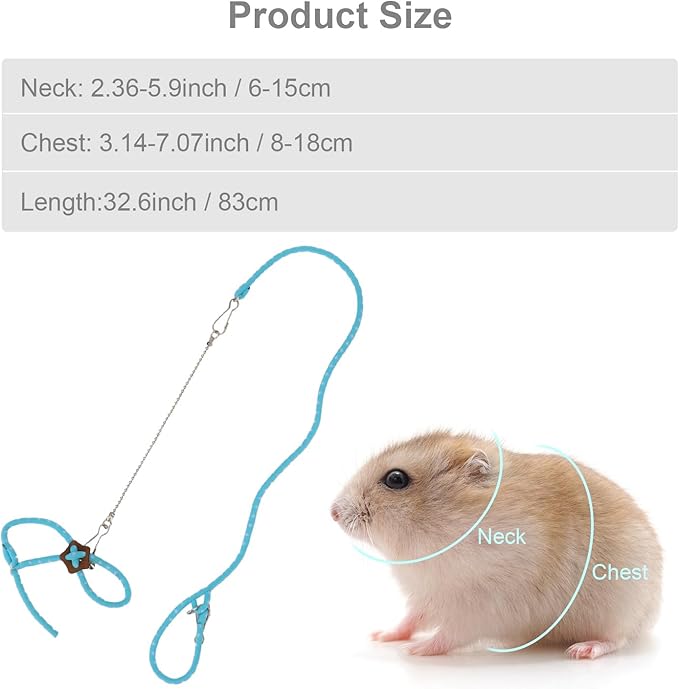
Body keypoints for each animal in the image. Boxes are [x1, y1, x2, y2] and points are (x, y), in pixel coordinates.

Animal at [330, 431, 662, 659]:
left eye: (396, 479)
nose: (332, 512)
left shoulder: (484, 605)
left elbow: (450, 633)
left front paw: (415, 651)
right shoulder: (428, 594)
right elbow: (412, 619)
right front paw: (382, 636)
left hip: (623, 606)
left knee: (617, 639)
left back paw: (582, 650)